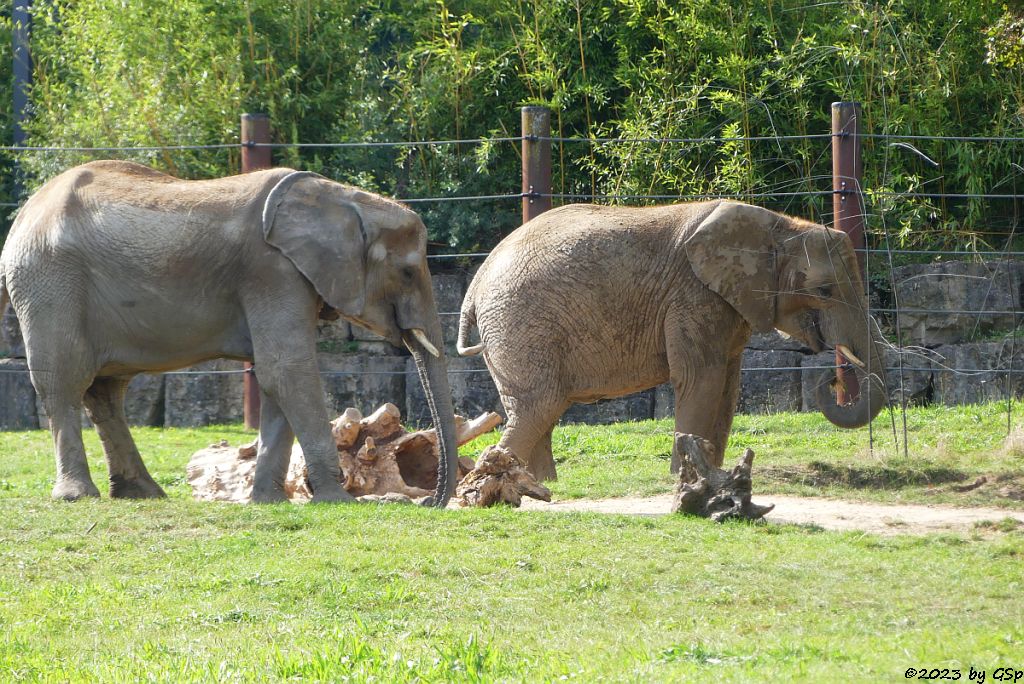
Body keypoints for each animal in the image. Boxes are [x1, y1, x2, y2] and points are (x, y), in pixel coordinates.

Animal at [0, 158, 456, 501]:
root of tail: (22, 216)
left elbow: (276, 377)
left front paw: (268, 501)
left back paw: (143, 493)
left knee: (107, 391)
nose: (430, 501)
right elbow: (286, 370)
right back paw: (78, 495)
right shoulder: (272, 270)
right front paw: (337, 500)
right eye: (408, 272)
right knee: (65, 382)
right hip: (49, 284)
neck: (342, 198)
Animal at [458, 200, 888, 481]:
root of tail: (474, 287)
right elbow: (701, 379)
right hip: (521, 324)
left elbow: (728, 387)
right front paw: (686, 478)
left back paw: (538, 485)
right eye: (825, 290)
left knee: (537, 410)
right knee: (539, 405)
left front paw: (713, 475)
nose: (830, 379)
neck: (779, 226)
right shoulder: (693, 295)